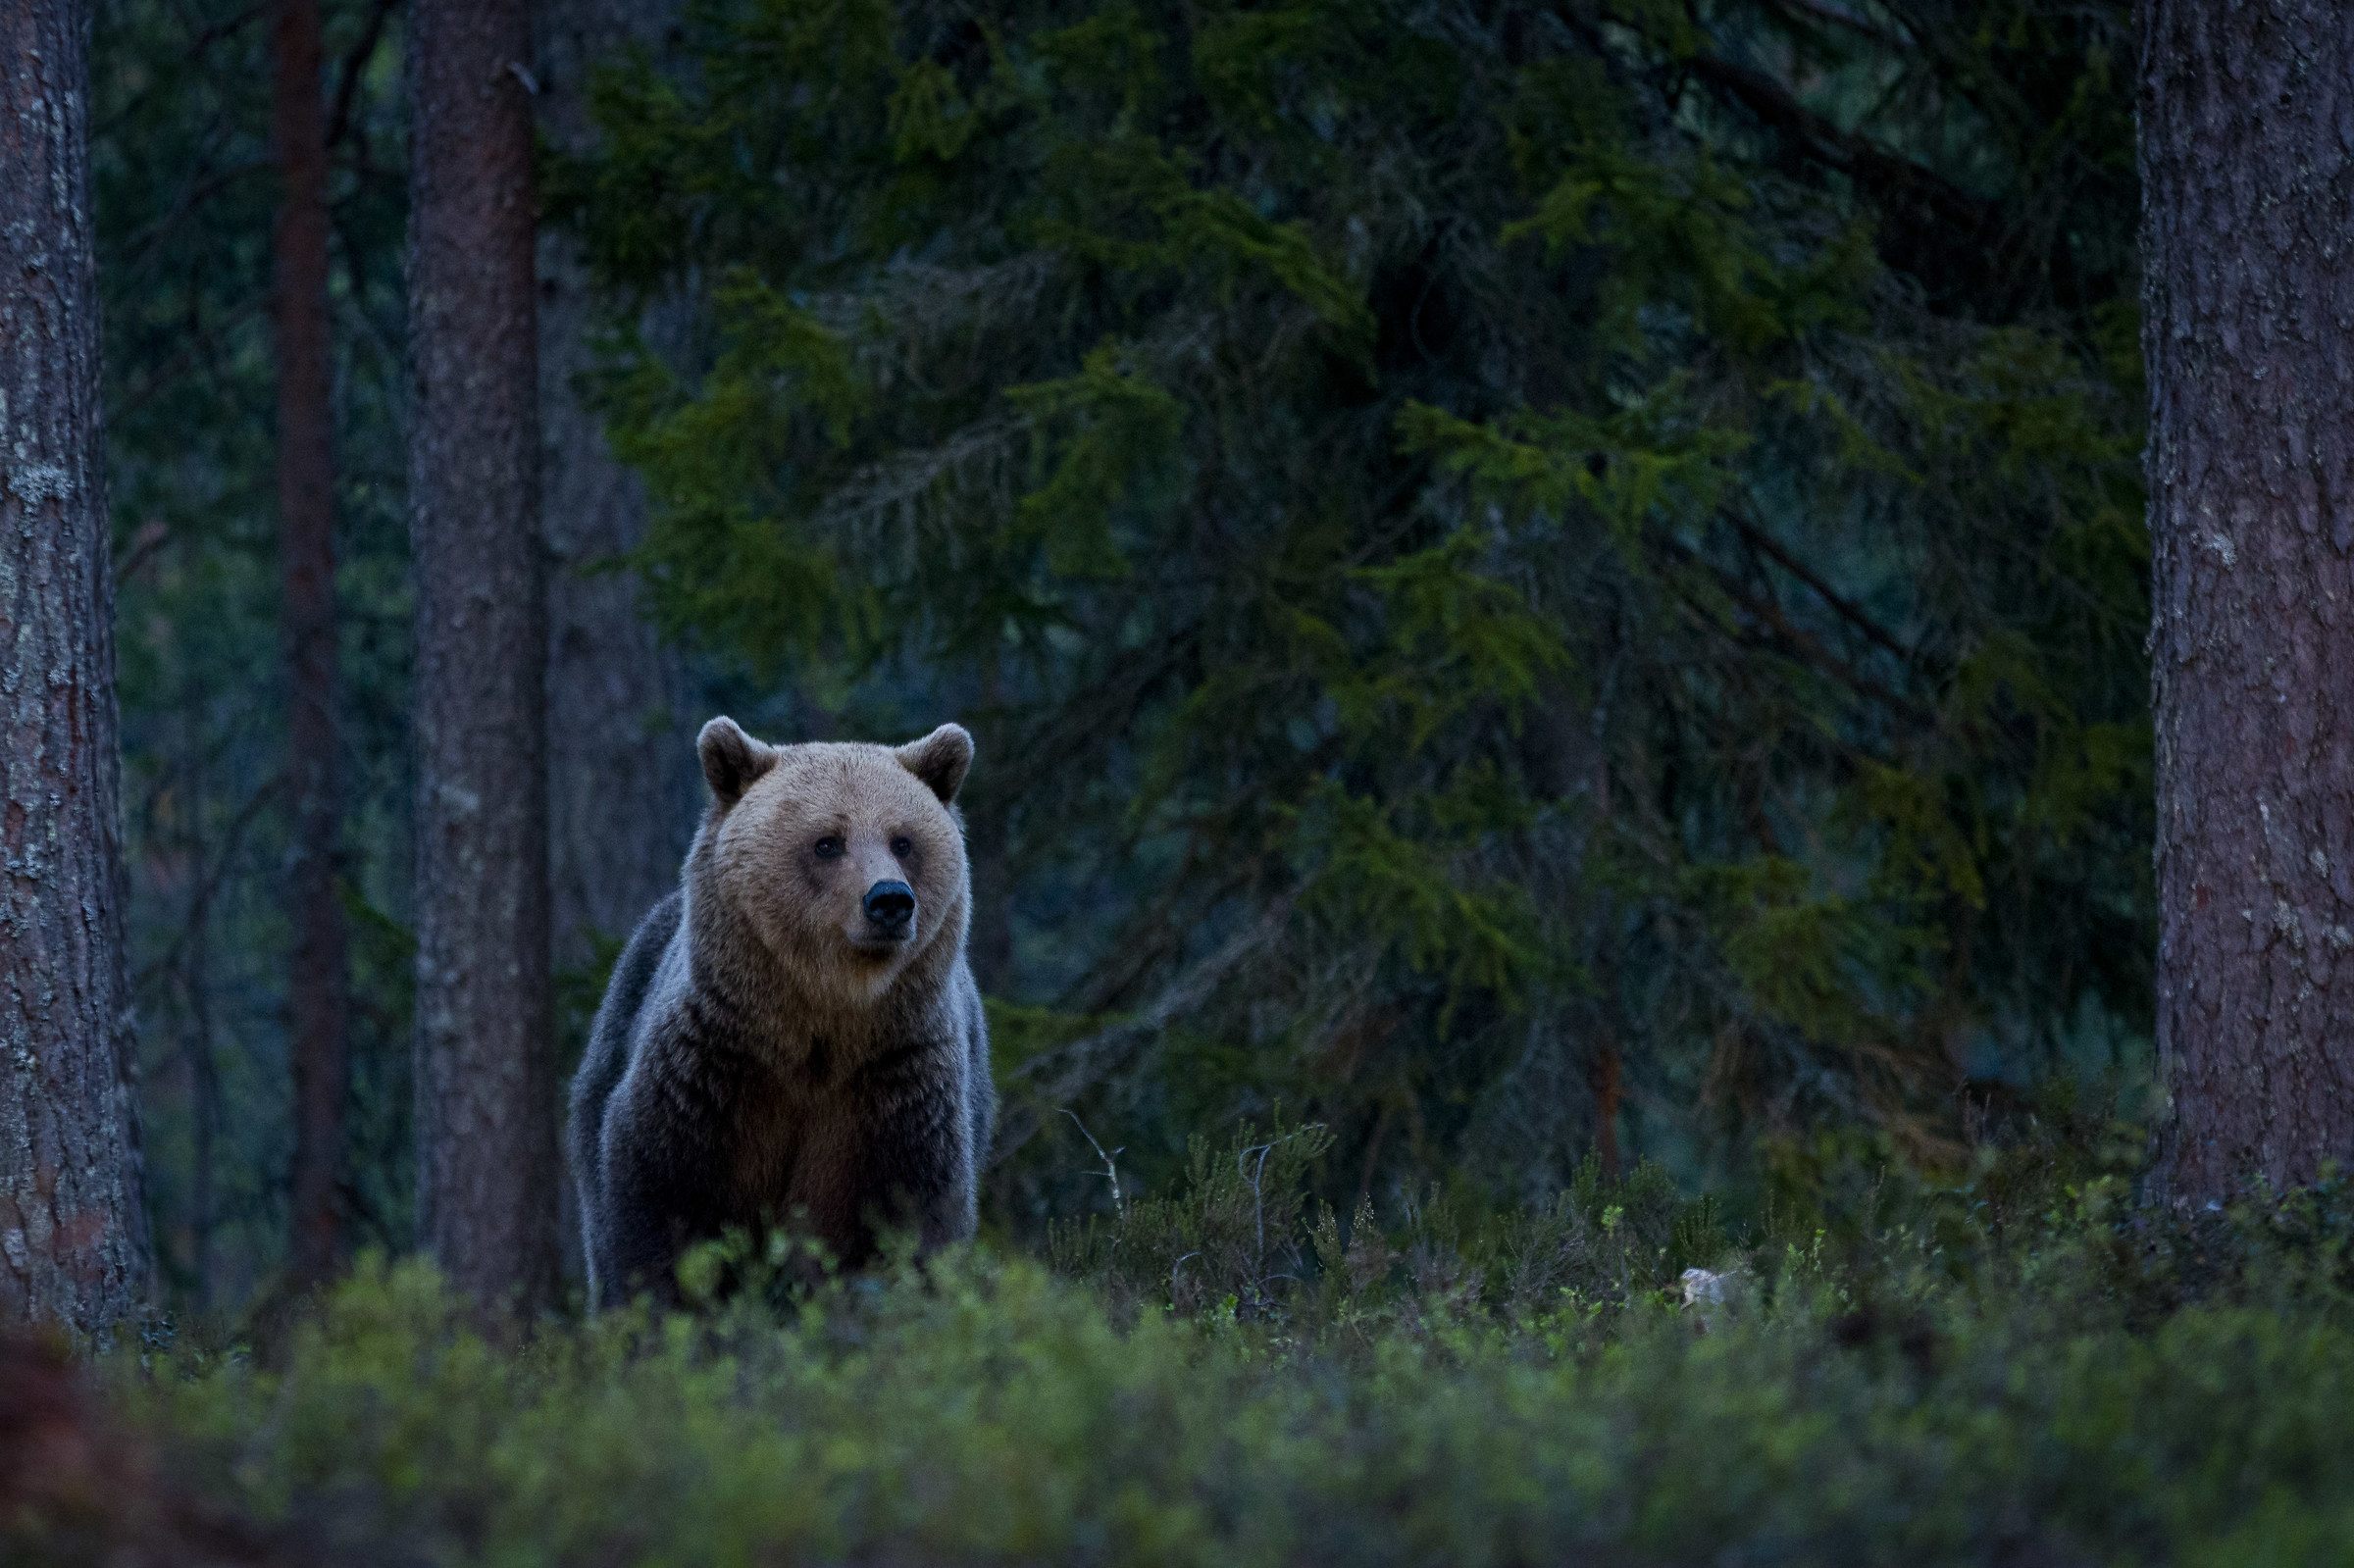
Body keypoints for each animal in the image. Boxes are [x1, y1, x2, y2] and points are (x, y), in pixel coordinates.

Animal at [568, 716, 994, 1308]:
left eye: (903, 840)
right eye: (827, 842)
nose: (889, 899)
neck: (817, 1024)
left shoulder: (896, 1086)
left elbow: (909, 1224)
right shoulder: (710, 1073)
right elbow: (656, 1210)